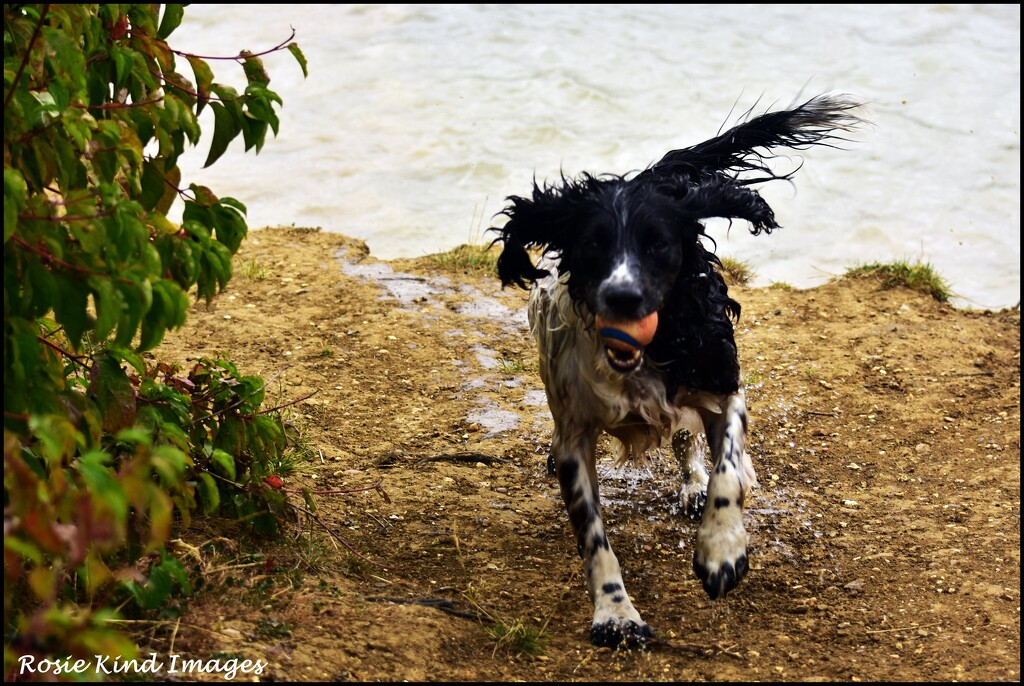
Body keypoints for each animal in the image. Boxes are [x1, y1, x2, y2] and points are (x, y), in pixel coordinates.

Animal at [491, 95, 860, 651]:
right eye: (593, 244)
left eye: (658, 244)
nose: (624, 298)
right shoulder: (574, 433)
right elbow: (594, 537)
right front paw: (615, 613)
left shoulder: (720, 382)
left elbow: (727, 469)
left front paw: (721, 550)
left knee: (693, 444)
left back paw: (697, 487)